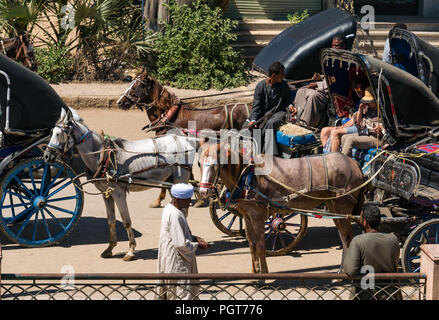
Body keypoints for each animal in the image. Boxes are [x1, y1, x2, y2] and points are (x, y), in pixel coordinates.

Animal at [43, 109, 199, 262]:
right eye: (51, 132)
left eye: (58, 134)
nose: (46, 156)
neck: (103, 156)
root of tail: (186, 140)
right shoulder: (106, 194)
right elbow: (111, 221)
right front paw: (109, 248)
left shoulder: (118, 193)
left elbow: (126, 221)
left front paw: (131, 250)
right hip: (172, 181)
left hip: (180, 179)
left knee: (183, 211)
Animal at [199, 141, 364, 274]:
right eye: (200, 164)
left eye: (214, 165)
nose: (203, 192)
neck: (247, 177)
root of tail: (353, 162)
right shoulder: (247, 216)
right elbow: (252, 244)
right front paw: (254, 272)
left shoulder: (257, 216)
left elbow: (260, 245)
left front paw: (263, 275)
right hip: (335, 209)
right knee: (344, 239)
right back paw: (341, 270)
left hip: (342, 208)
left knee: (348, 239)